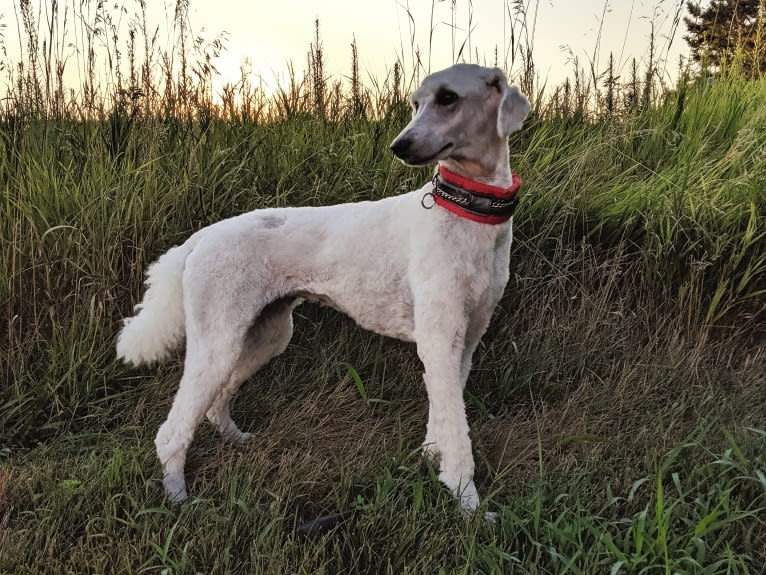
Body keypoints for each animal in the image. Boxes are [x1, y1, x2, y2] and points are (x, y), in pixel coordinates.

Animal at [117, 64, 532, 516]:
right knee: (173, 430)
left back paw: (235, 439)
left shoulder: (466, 339)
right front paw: (468, 504)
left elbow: (445, 414)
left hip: (267, 334)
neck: (466, 210)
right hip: (218, 341)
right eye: (416, 103)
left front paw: (430, 460)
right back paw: (176, 493)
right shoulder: (440, 340)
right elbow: (459, 434)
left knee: (214, 402)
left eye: (448, 98)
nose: (399, 146)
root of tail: (200, 237)